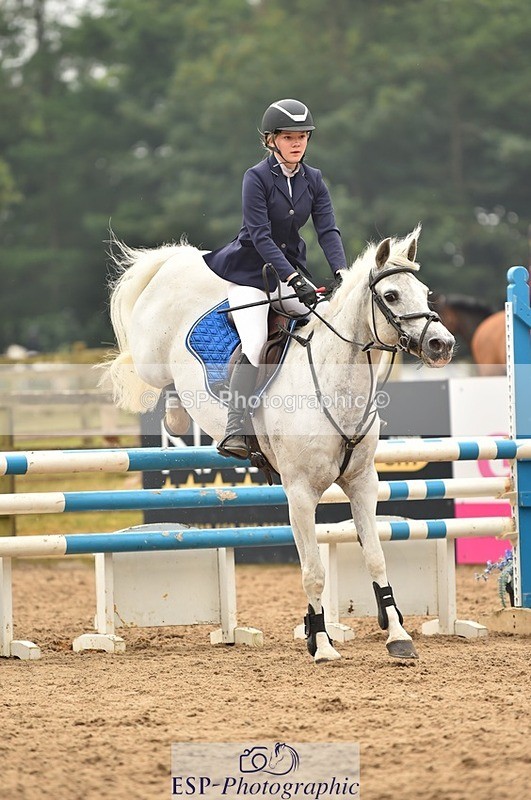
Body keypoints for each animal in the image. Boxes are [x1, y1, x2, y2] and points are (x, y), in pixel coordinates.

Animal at [101, 226, 455, 663]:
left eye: (424, 292)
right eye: (390, 296)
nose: (442, 345)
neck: (336, 383)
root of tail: (178, 259)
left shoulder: (362, 484)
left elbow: (375, 558)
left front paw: (397, 634)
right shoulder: (300, 491)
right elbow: (314, 572)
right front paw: (321, 643)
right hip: (150, 353)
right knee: (142, 369)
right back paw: (170, 413)